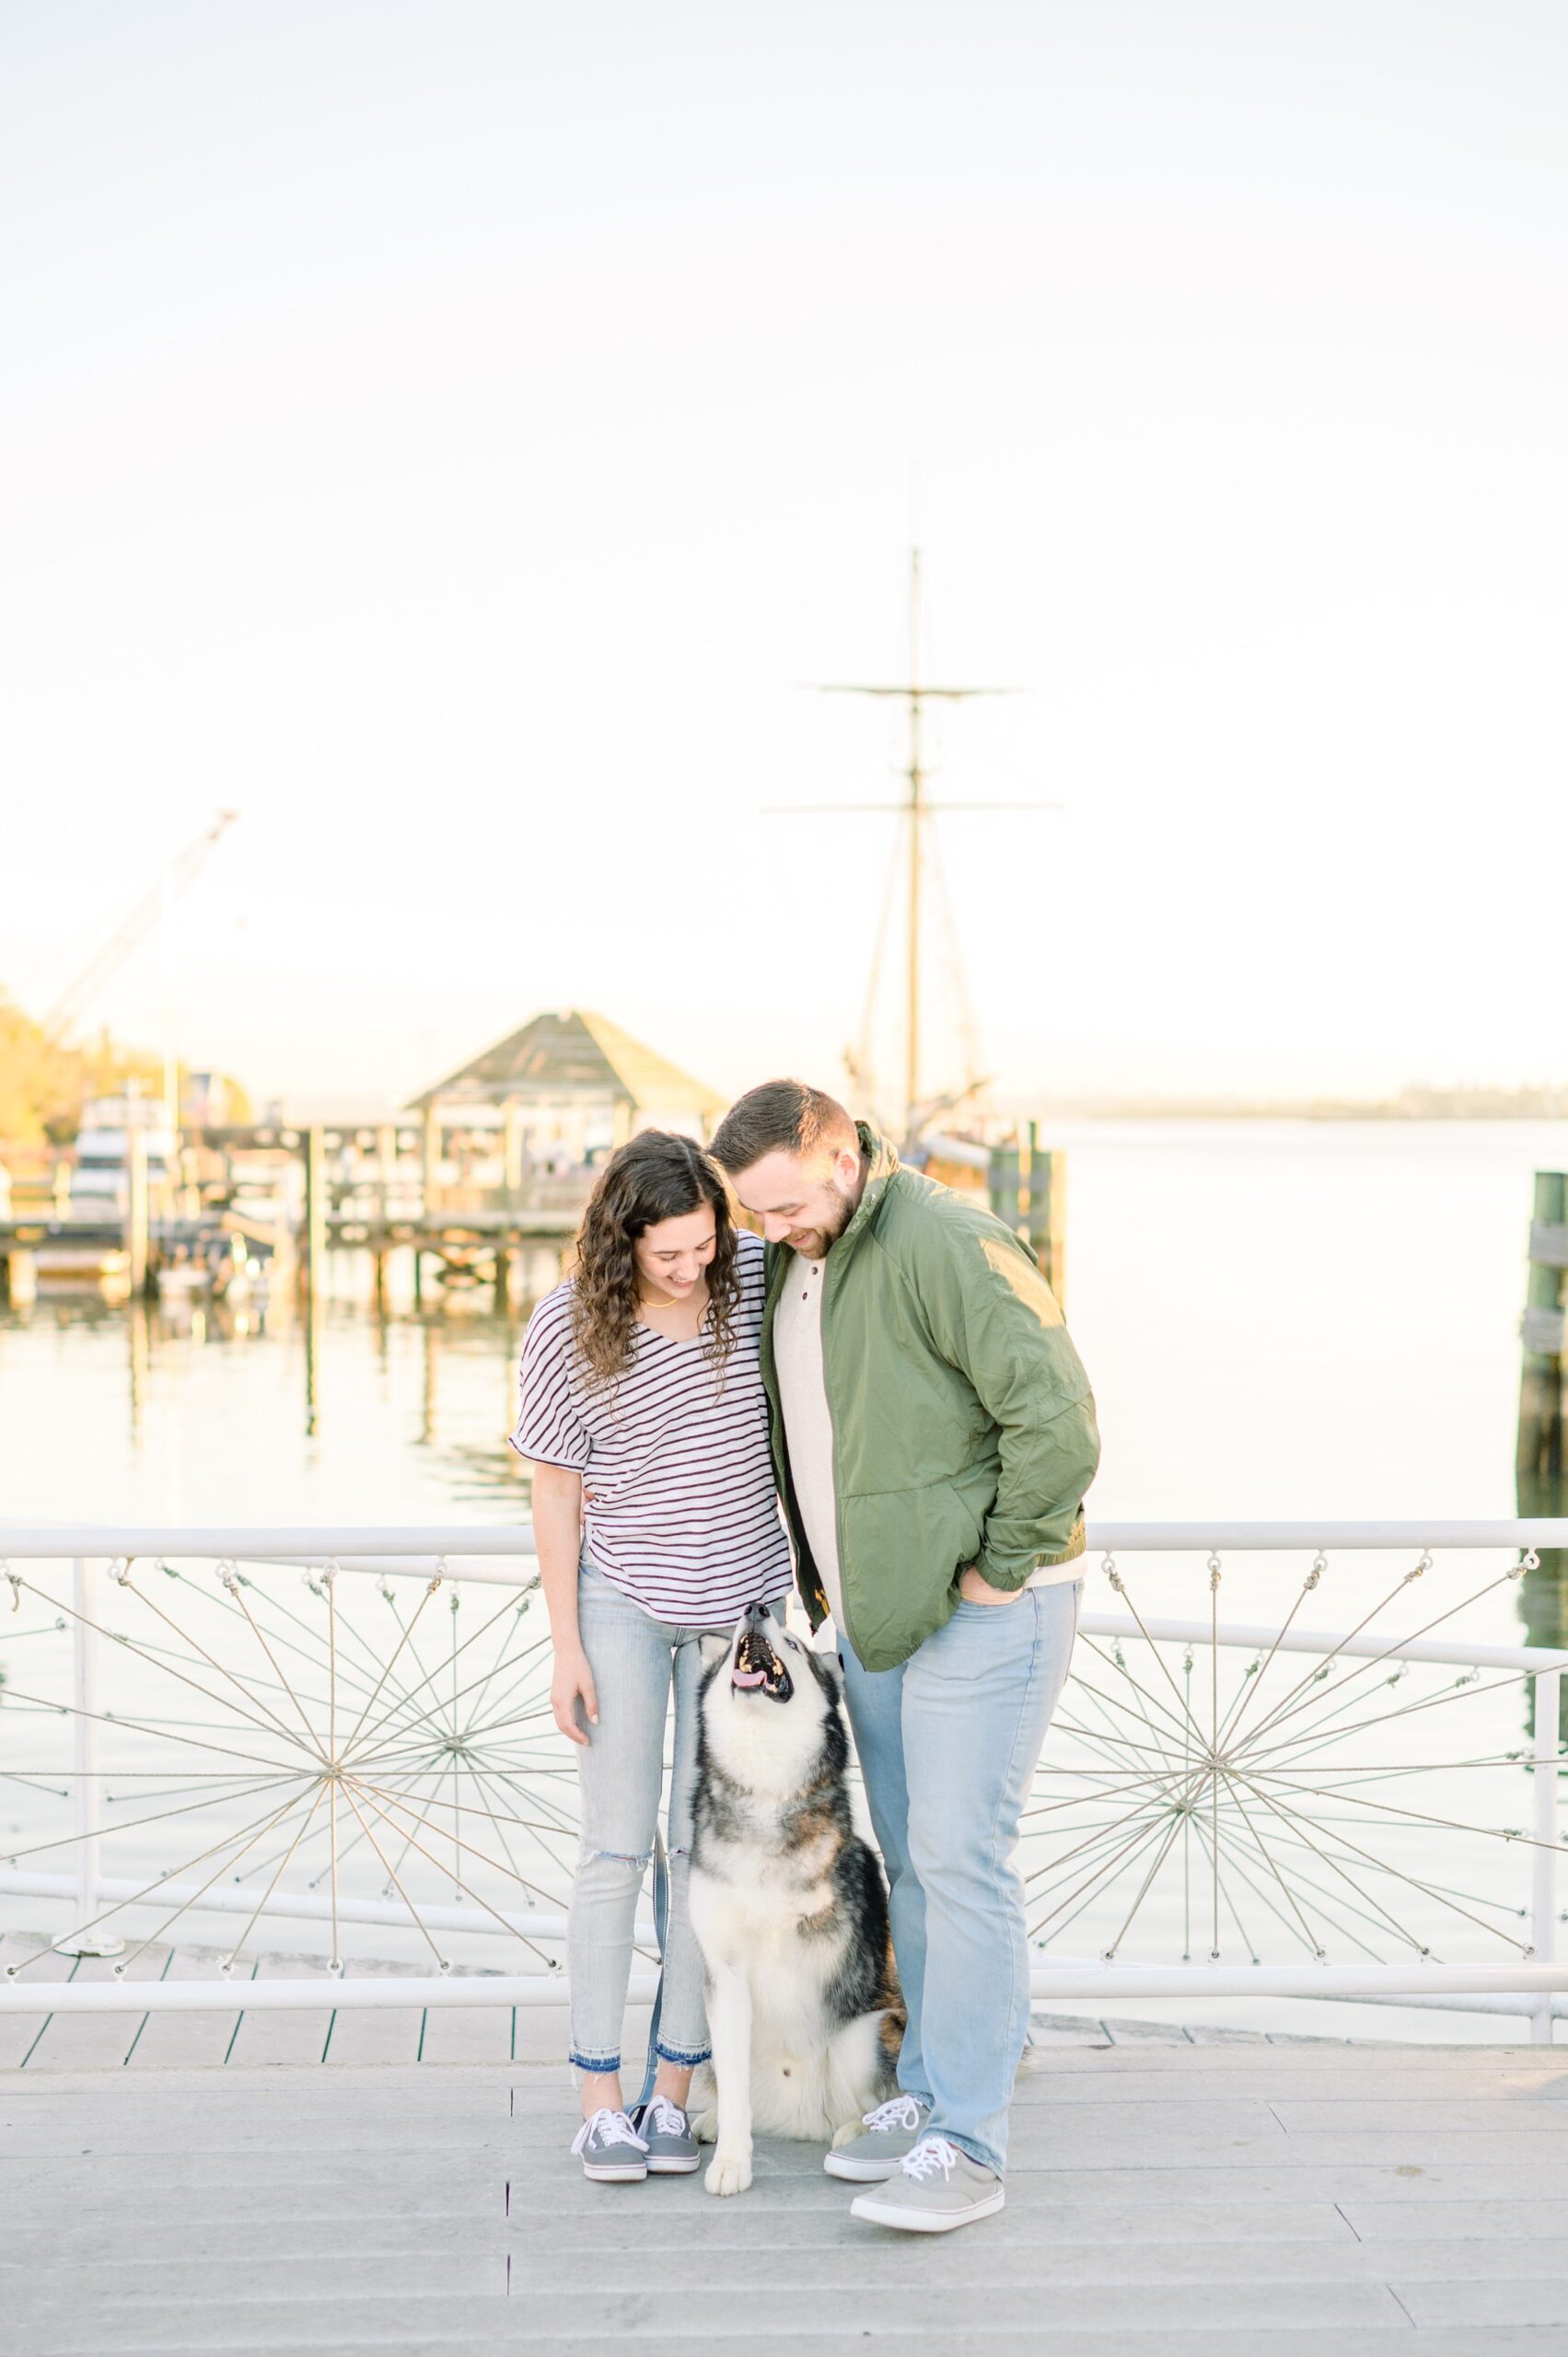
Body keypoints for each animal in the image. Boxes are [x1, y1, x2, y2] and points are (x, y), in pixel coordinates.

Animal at [688, 1602, 900, 2187]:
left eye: (794, 1643)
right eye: (745, 1628)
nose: (755, 1607)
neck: (763, 1789)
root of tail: (802, 2120)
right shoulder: (725, 1974)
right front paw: (732, 2161)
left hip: (861, 2038)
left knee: (869, 2099)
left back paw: (855, 2133)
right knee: (736, 2092)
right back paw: (713, 2121)